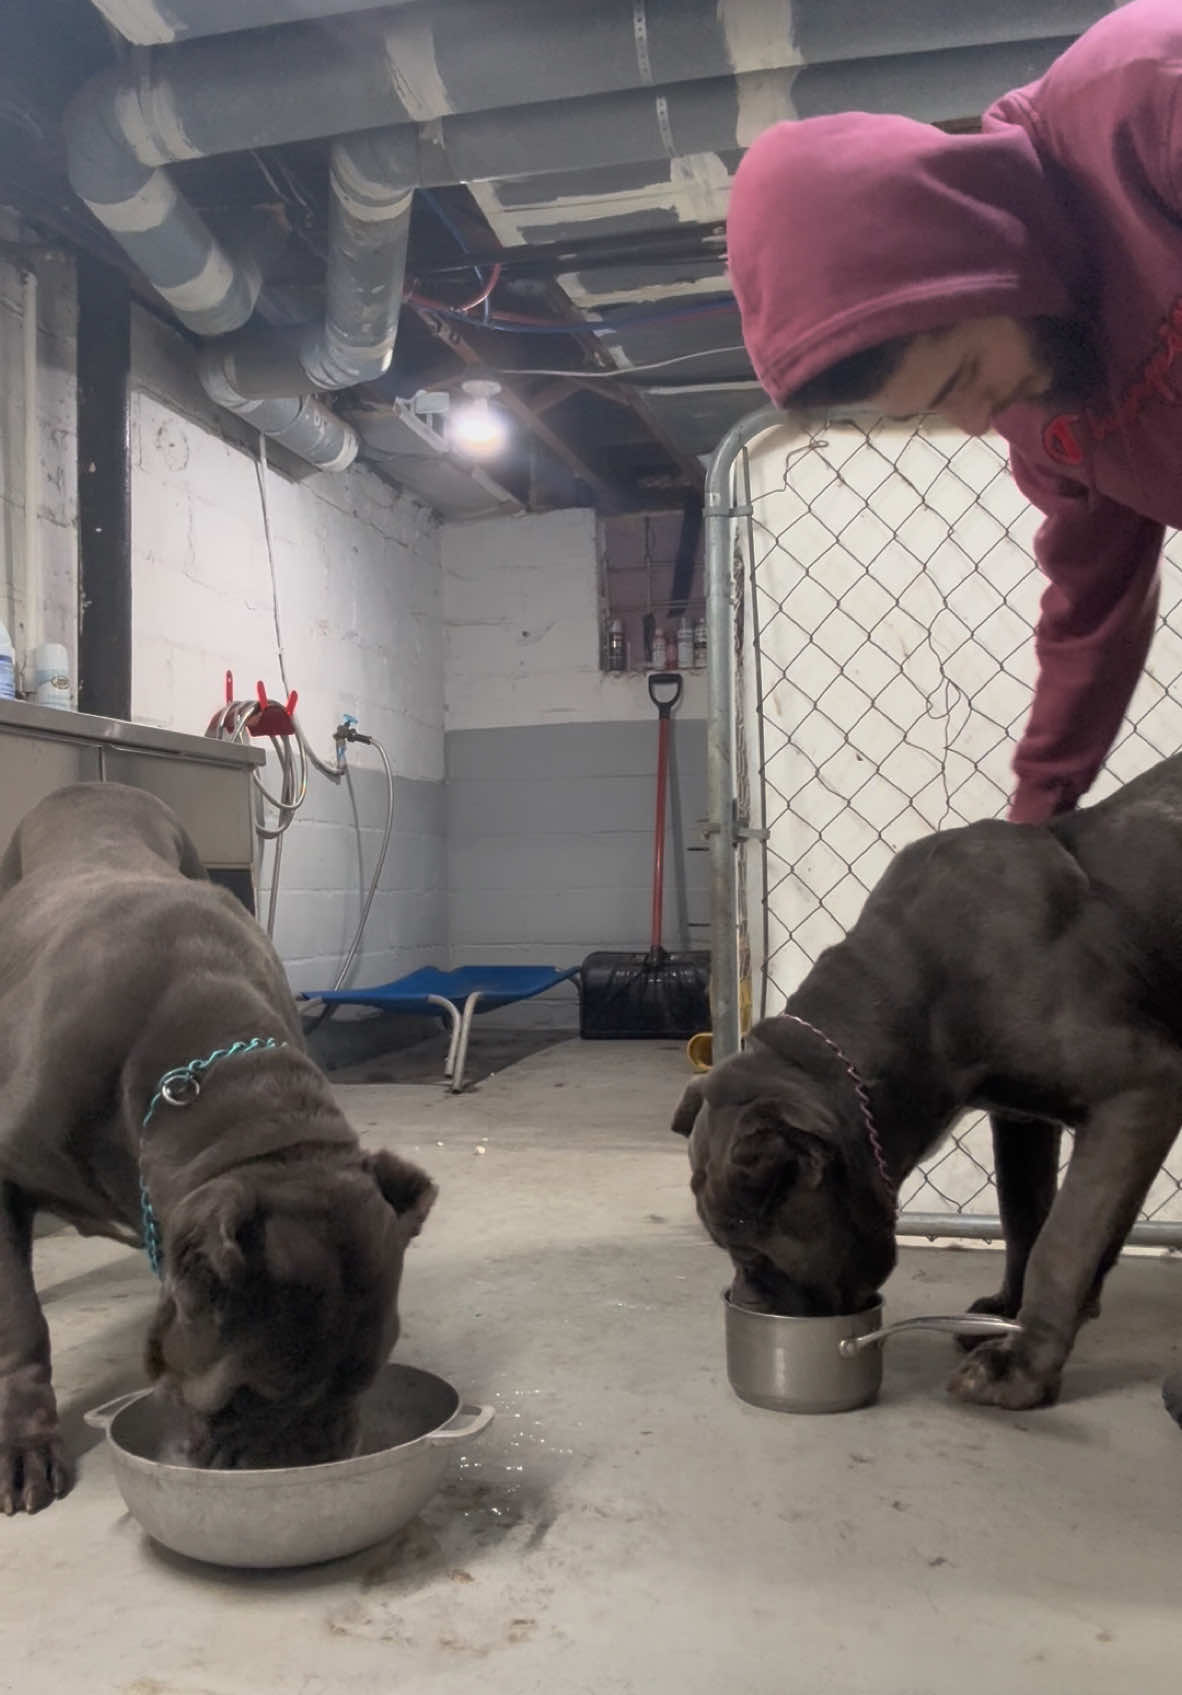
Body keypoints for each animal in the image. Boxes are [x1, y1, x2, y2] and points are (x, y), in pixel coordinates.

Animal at [1, 786, 434, 1518]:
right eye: (239, 1398)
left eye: (368, 1374)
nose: (310, 1457)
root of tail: (89, 788)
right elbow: (19, 1322)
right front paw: (23, 1443)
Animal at [668, 749, 1180, 1423]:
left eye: (753, 1253)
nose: (744, 1304)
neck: (921, 989)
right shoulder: (1021, 1119)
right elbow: (1026, 1215)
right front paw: (1012, 1312)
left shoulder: (1142, 1089)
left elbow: (1064, 1240)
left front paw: (1020, 1366)